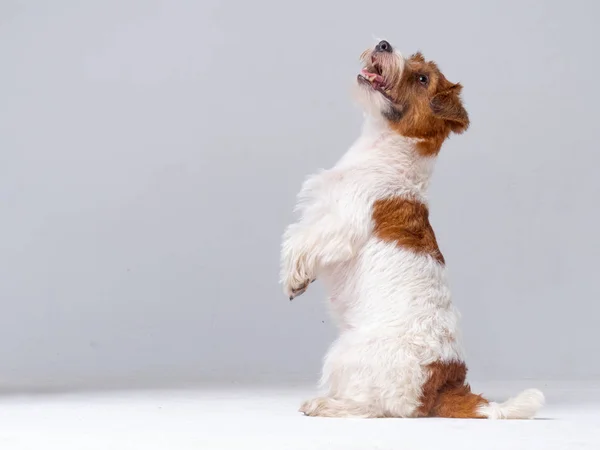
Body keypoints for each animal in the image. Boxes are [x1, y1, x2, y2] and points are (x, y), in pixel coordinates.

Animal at [280, 39, 544, 418]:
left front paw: (294, 278)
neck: (383, 150)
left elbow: (300, 241)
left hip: (349, 354)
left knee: (376, 407)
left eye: (422, 78)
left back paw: (326, 403)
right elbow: (297, 234)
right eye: (415, 62)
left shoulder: (340, 224)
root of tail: (442, 384)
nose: (384, 44)